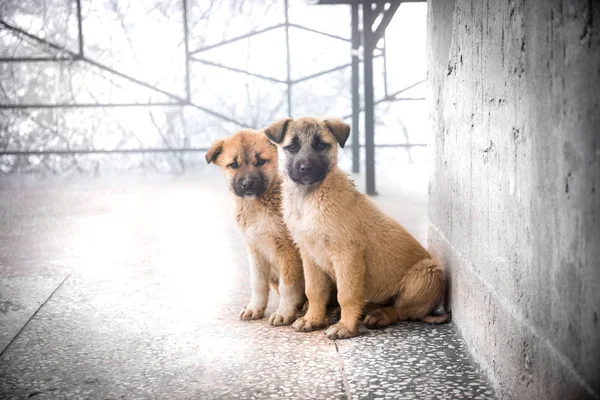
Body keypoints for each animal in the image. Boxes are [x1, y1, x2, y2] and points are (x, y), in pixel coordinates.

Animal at [209, 130, 308, 326]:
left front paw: (284, 312)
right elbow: (257, 283)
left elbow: (288, 285)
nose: (247, 184)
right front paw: (255, 308)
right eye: (234, 164)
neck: (256, 206)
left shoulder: (288, 250)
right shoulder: (254, 249)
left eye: (261, 161)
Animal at [264, 117, 448, 340]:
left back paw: (380, 315)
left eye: (321, 145)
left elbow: (347, 294)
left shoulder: (348, 254)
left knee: (402, 309)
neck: (308, 198)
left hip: (426, 275)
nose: (305, 168)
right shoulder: (309, 256)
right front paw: (313, 319)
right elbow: (314, 290)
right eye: (292, 147)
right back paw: (368, 309)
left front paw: (345, 327)